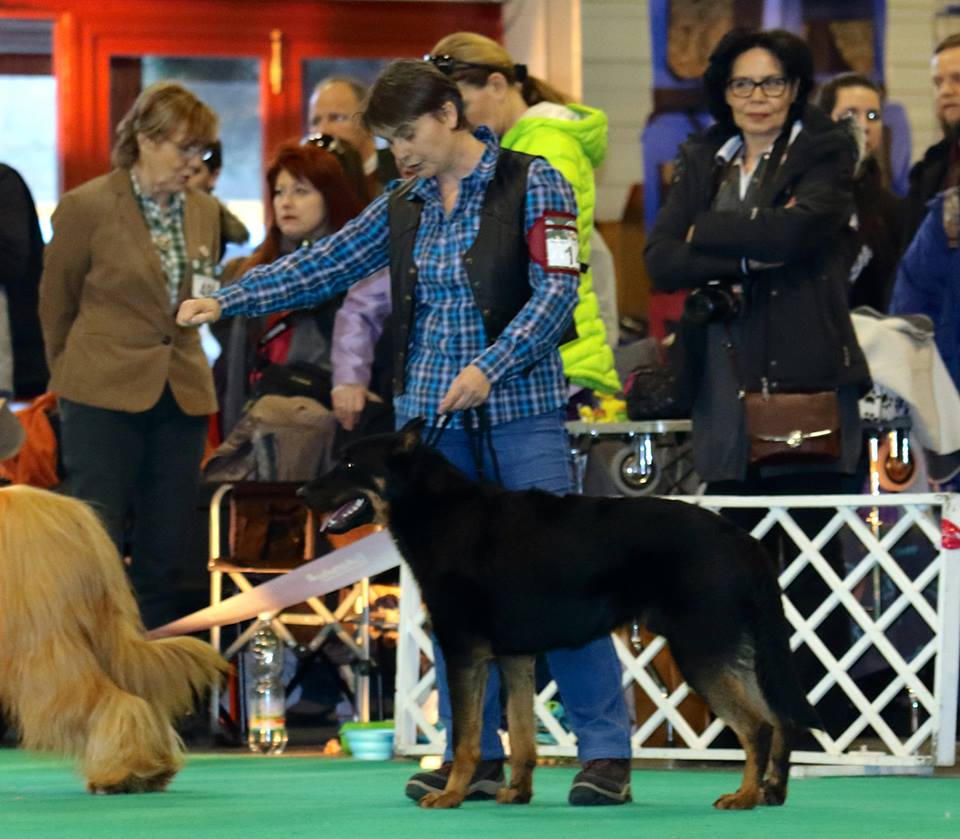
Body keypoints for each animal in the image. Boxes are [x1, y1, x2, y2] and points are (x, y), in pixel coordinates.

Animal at [0, 486, 227, 796]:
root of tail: (75, 516)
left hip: (46, 644)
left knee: (103, 698)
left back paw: (123, 774)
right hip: (102, 635)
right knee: (140, 694)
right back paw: (151, 769)